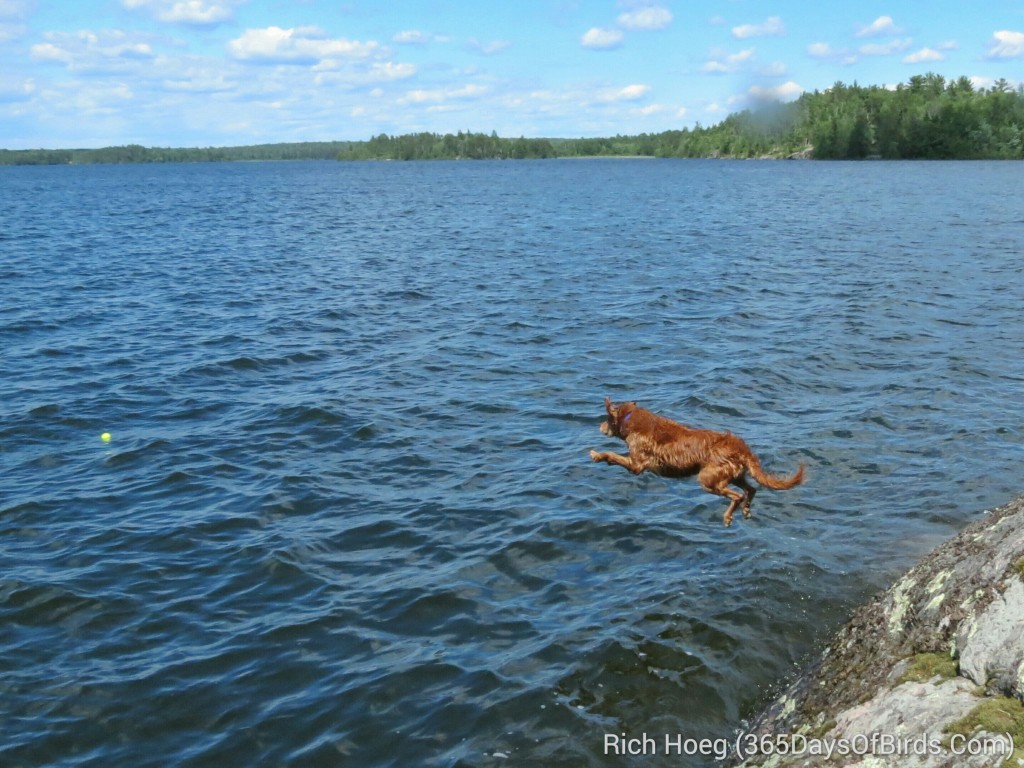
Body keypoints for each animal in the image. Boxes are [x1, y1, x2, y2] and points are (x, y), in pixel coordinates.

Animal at [593, 399, 798, 528]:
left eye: (607, 419)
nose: (599, 426)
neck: (632, 418)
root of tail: (740, 446)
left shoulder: (636, 465)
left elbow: (613, 455)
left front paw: (597, 455)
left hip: (708, 479)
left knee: (736, 496)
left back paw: (728, 516)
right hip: (734, 475)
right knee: (751, 489)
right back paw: (746, 510)